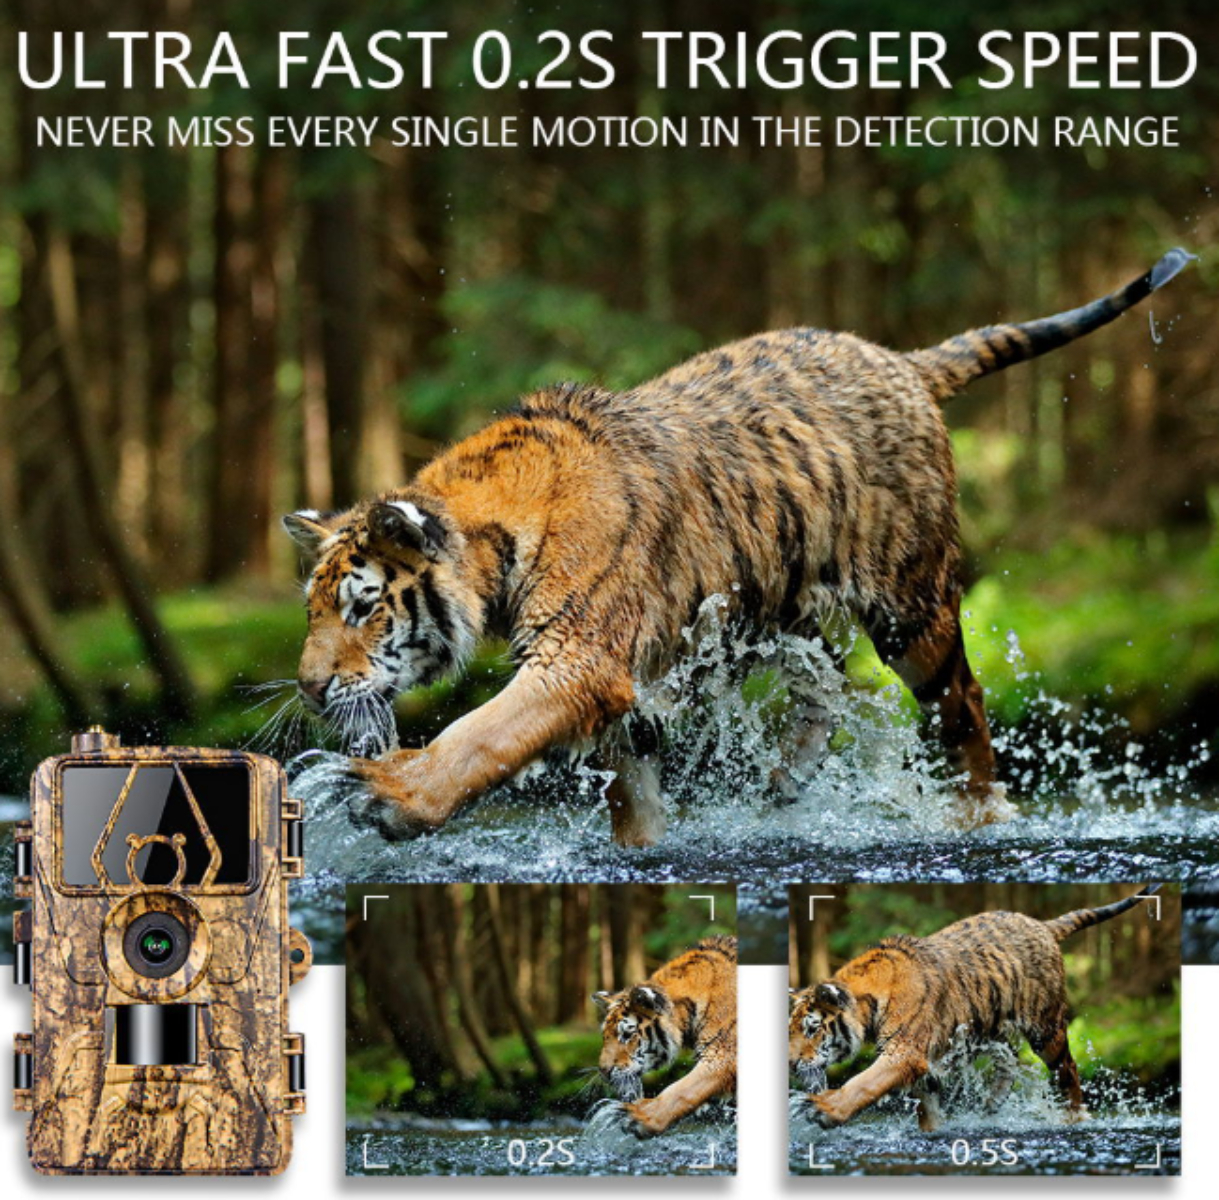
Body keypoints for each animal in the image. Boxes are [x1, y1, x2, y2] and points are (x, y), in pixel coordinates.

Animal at [282, 248, 1192, 846]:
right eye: (313, 612)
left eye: (364, 608)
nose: (310, 688)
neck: (495, 547)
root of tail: (900, 359)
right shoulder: (627, 685)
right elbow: (631, 788)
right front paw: (642, 850)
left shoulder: (578, 659)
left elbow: (480, 734)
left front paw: (384, 794)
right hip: (775, 604)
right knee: (826, 686)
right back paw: (790, 777)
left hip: (910, 605)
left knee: (960, 702)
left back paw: (976, 819)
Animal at [592, 934, 737, 1137]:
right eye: (605, 1036)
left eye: (627, 1034)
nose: (604, 1072)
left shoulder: (723, 1053)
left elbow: (683, 1089)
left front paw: (640, 1116)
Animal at [788, 884, 1161, 1132]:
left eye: (812, 1028)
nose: (790, 1063)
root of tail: (1042, 925)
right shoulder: (925, 1065)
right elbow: (928, 1106)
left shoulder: (904, 1052)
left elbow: (863, 1082)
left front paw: (823, 1109)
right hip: (987, 1026)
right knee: (1010, 1059)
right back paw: (994, 1101)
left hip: (1046, 1028)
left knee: (1066, 1068)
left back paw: (1074, 1118)